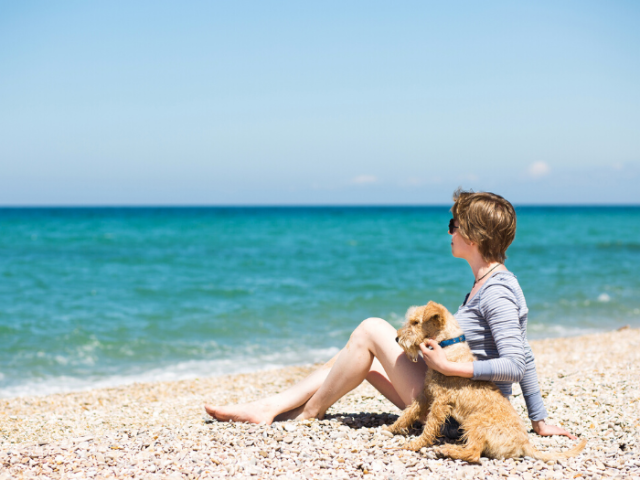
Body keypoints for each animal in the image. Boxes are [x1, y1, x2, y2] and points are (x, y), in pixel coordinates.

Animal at [388, 302, 588, 464]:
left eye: (415, 322)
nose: (396, 338)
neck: (447, 346)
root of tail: (525, 444)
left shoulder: (440, 402)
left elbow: (429, 427)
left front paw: (415, 444)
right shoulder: (425, 395)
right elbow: (409, 412)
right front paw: (392, 427)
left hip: (475, 422)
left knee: (474, 453)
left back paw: (446, 450)